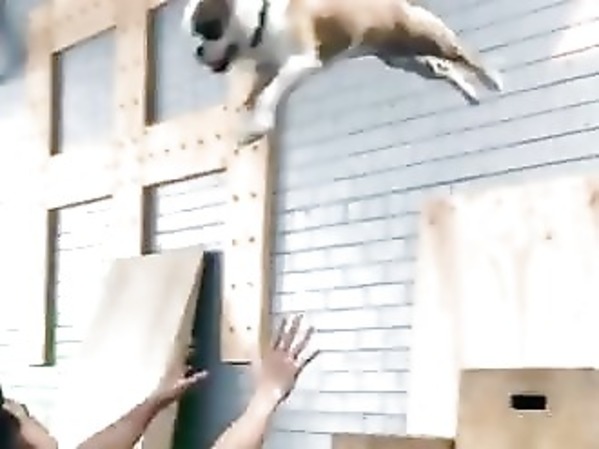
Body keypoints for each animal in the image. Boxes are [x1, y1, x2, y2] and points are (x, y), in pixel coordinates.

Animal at [182, 0, 503, 145]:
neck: (261, 18)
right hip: (406, 60)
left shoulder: (300, 63)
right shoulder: (267, 68)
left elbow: (270, 94)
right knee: (444, 68)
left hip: (428, 37)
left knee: (463, 54)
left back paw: (492, 79)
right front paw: (249, 119)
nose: (197, 51)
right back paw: (470, 93)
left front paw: (259, 123)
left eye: (206, 29)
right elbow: (257, 92)